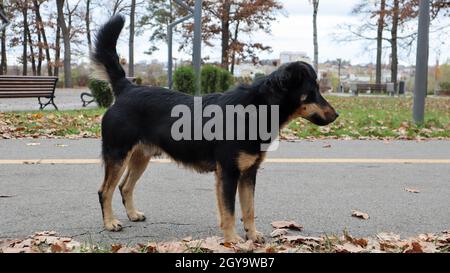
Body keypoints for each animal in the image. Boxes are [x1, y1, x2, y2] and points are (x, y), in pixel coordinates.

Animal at [92, 15, 338, 243]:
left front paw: (252, 235)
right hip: (118, 155)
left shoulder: (248, 173)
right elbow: (229, 212)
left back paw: (132, 215)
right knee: (105, 190)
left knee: (125, 187)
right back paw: (111, 223)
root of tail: (126, 88)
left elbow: (249, 210)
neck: (257, 108)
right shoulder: (228, 173)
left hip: (140, 157)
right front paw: (232, 240)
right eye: (313, 91)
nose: (336, 115)